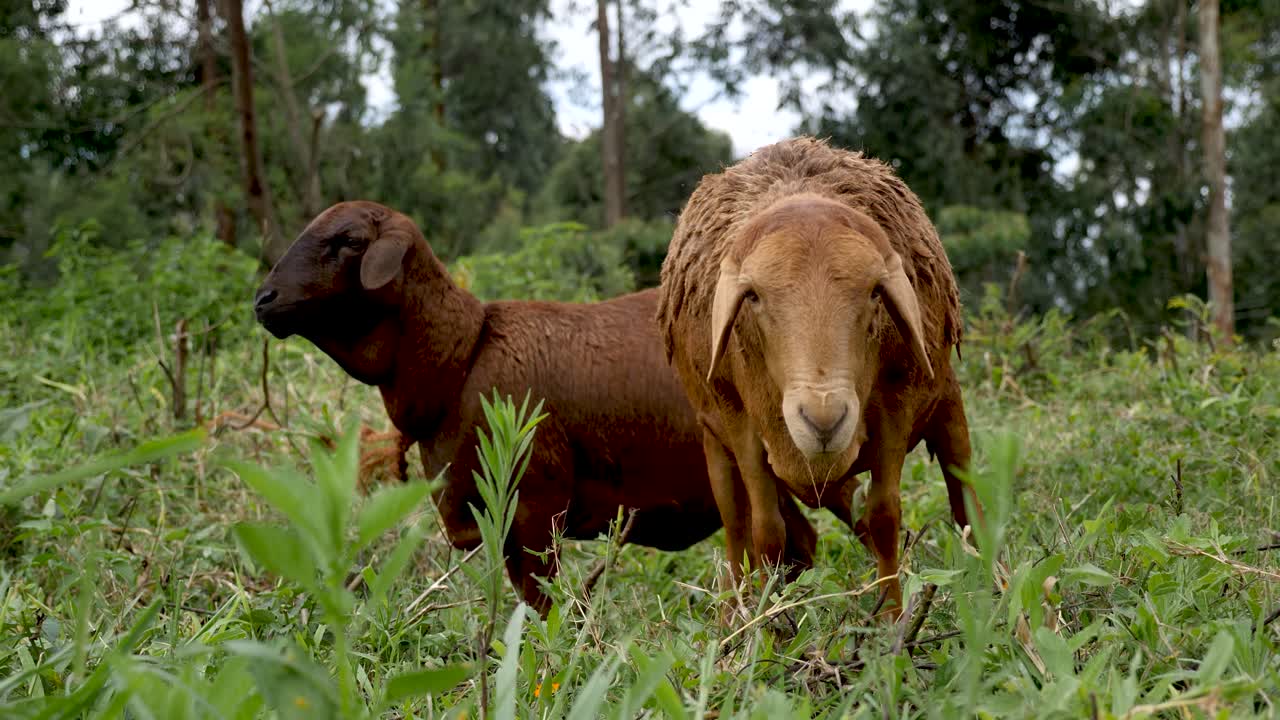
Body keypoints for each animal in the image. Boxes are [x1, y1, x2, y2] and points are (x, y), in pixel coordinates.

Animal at [252, 200, 817, 614]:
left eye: (348, 241)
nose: (264, 300)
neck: (462, 355)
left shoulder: (535, 506)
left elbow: (542, 605)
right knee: (798, 546)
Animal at [656, 137, 981, 618]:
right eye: (753, 296)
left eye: (875, 292)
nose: (824, 417)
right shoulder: (741, 425)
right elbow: (767, 533)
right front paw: (770, 625)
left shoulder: (897, 408)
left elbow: (884, 517)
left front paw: (891, 618)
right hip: (713, 440)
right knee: (735, 527)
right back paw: (732, 612)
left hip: (947, 405)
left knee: (966, 506)